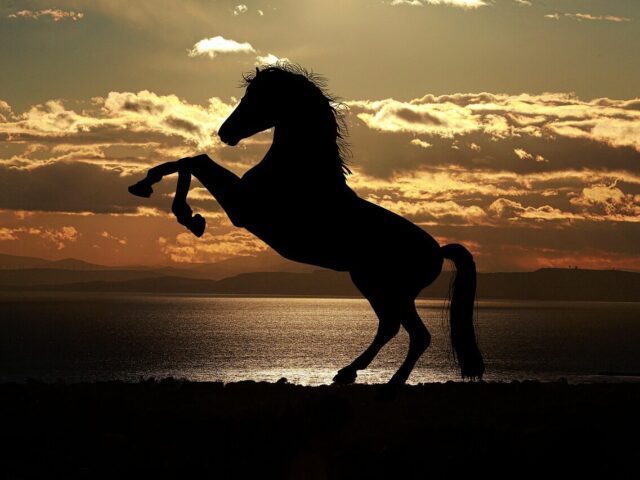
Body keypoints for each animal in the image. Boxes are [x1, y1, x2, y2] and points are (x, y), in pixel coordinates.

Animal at [128, 64, 484, 393]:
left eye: (257, 97)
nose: (224, 132)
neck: (299, 172)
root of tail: (437, 251)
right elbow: (189, 161)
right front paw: (148, 188)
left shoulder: (243, 208)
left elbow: (195, 161)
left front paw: (187, 215)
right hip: (374, 285)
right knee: (390, 327)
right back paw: (347, 373)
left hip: (388, 288)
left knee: (415, 334)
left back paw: (388, 384)